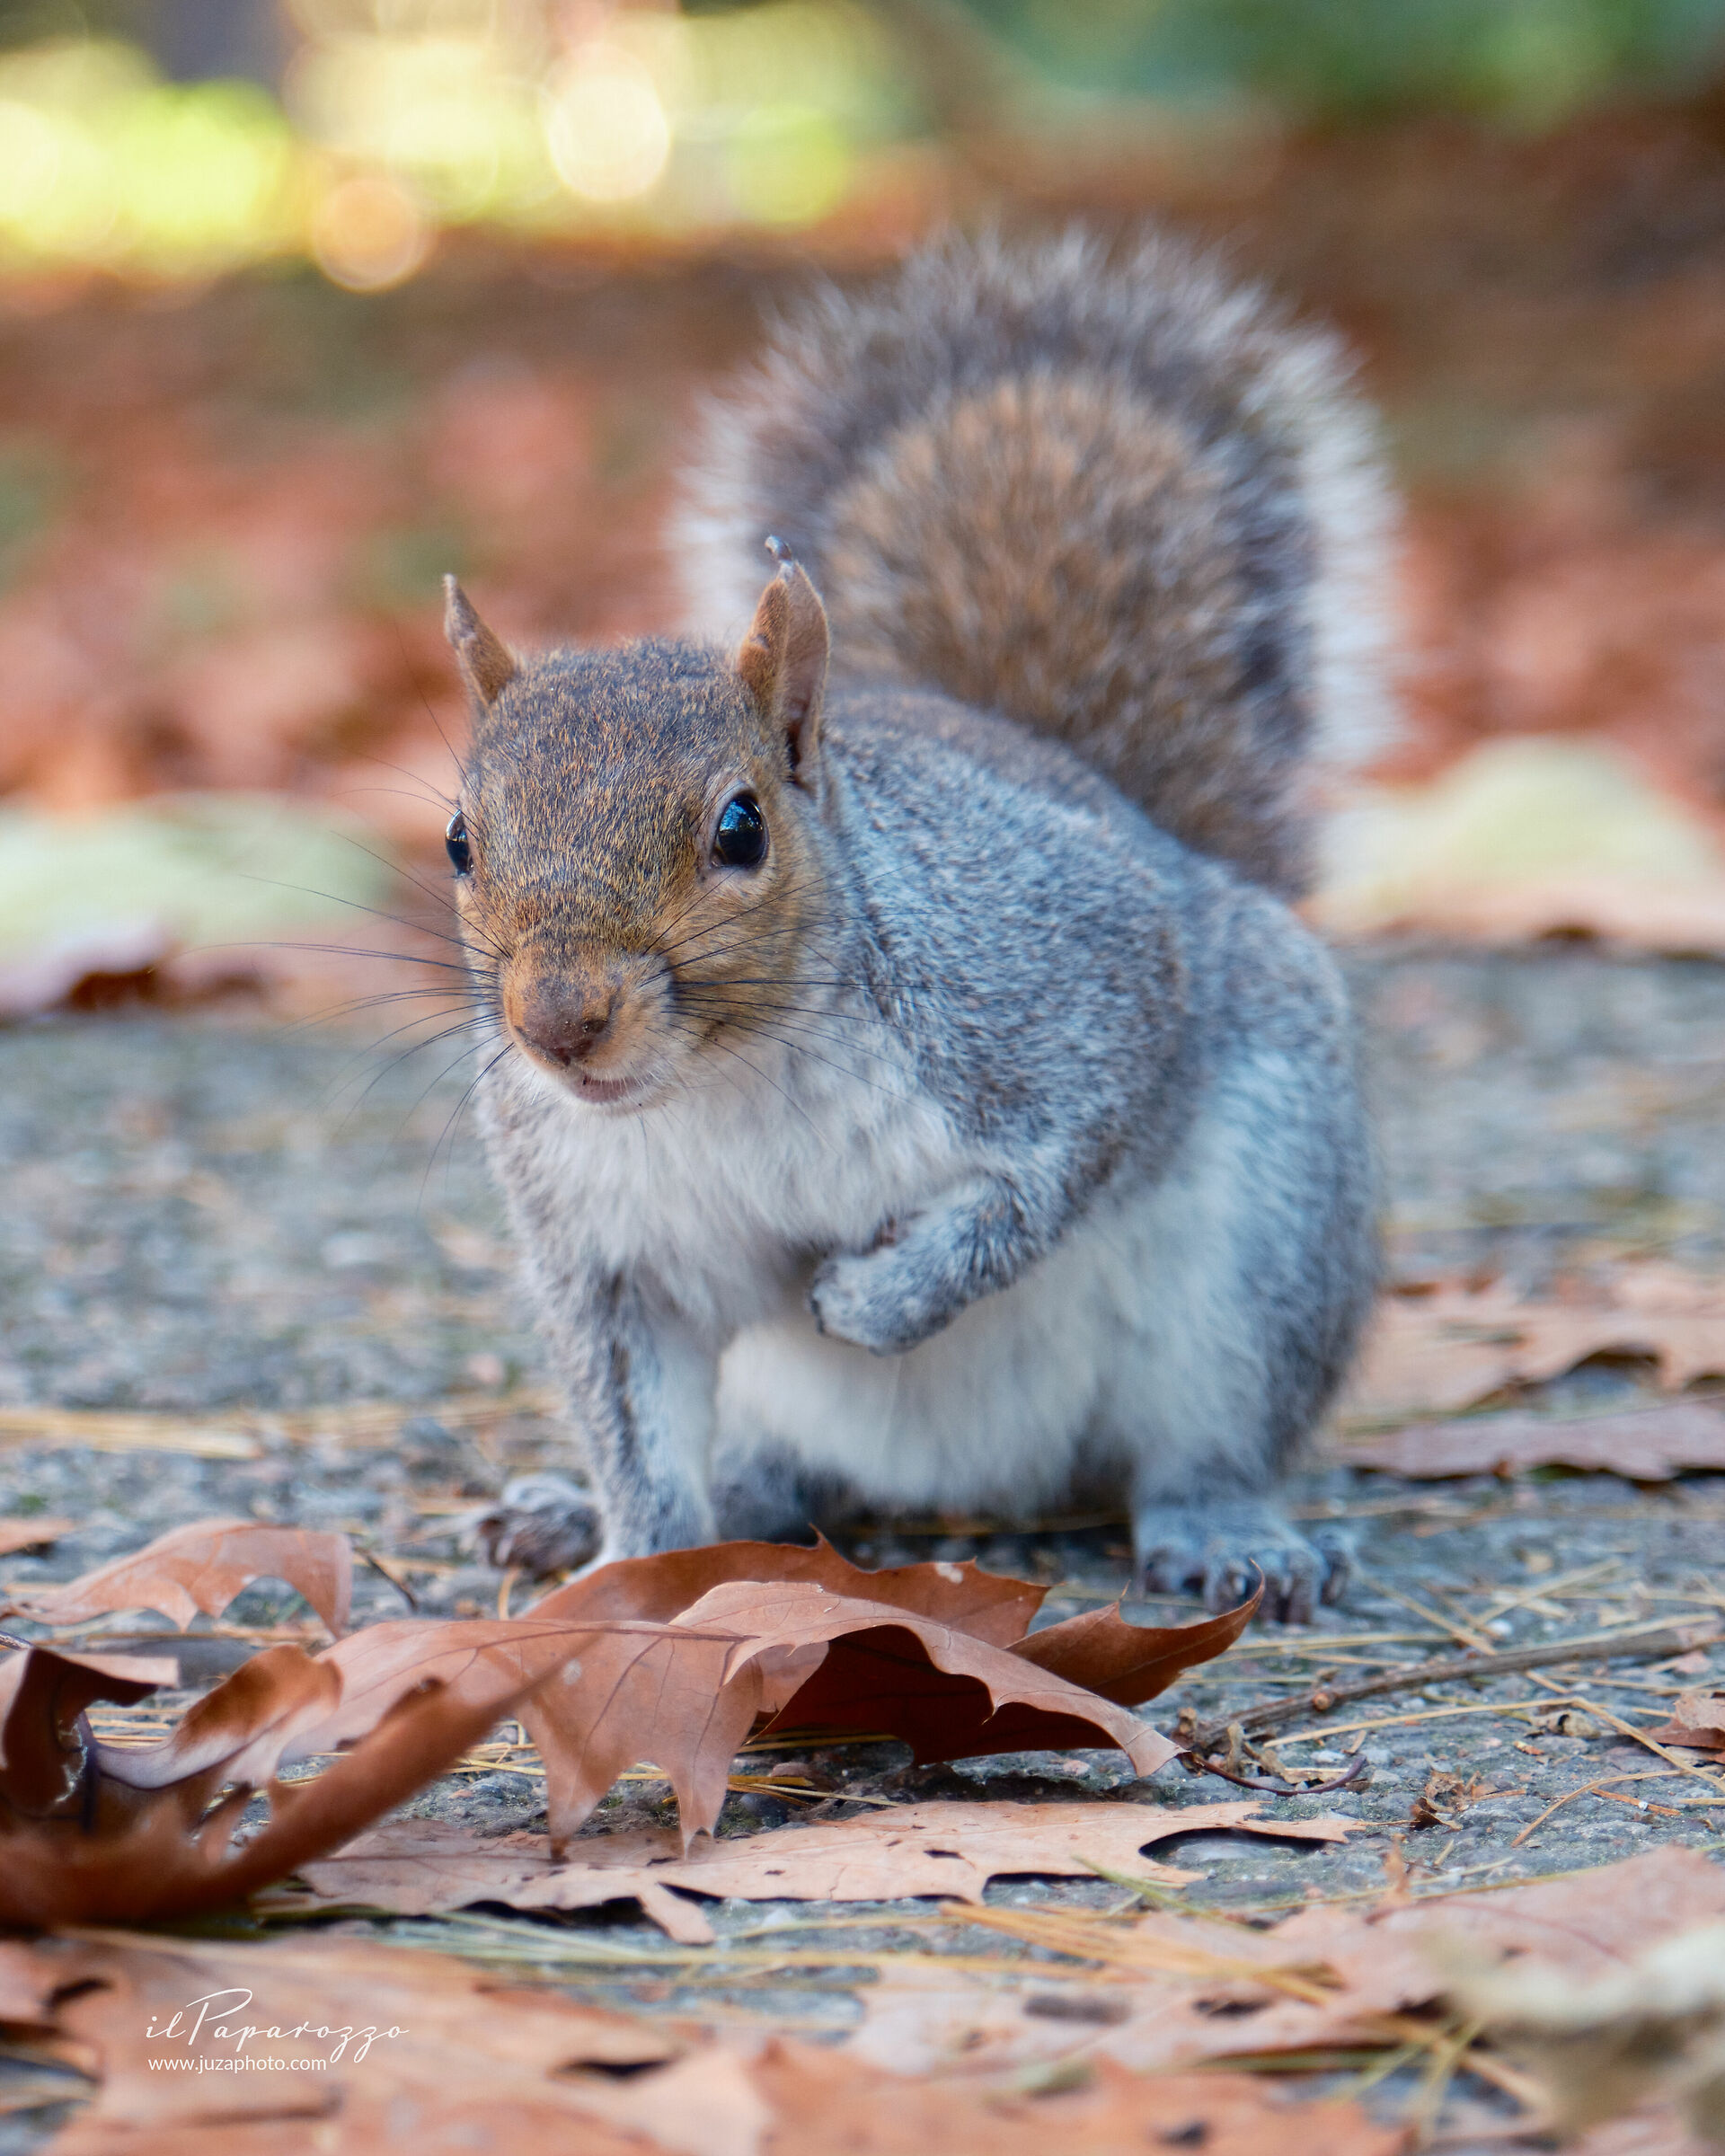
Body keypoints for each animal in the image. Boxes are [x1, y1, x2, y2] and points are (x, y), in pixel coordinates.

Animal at [449, 228, 1395, 1623]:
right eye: (460, 841)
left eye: (742, 830)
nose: (558, 1024)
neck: (727, 1077)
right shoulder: (610, 1256)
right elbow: (638, 1437)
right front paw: (629, 1565)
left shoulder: (1076, 992)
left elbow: (1040, 1189)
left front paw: (880, 1296)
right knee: (769, 1477)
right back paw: (587, 1512)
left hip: (1266, 1249)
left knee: (1205, 1442)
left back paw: (1231, 1534)